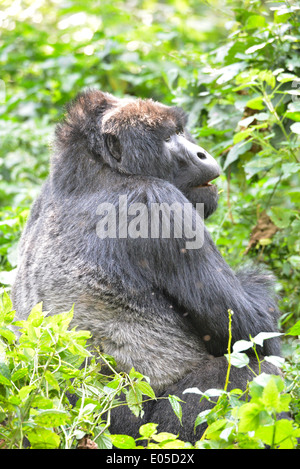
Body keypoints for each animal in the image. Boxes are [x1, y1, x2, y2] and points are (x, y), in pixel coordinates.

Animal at [10, 89, 280, 440]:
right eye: (167, 138)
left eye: (180, 131)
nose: (201, 153)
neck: (96, 166)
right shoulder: (161, 202)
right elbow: (256, 329)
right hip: (136, 431)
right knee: (253, 372)